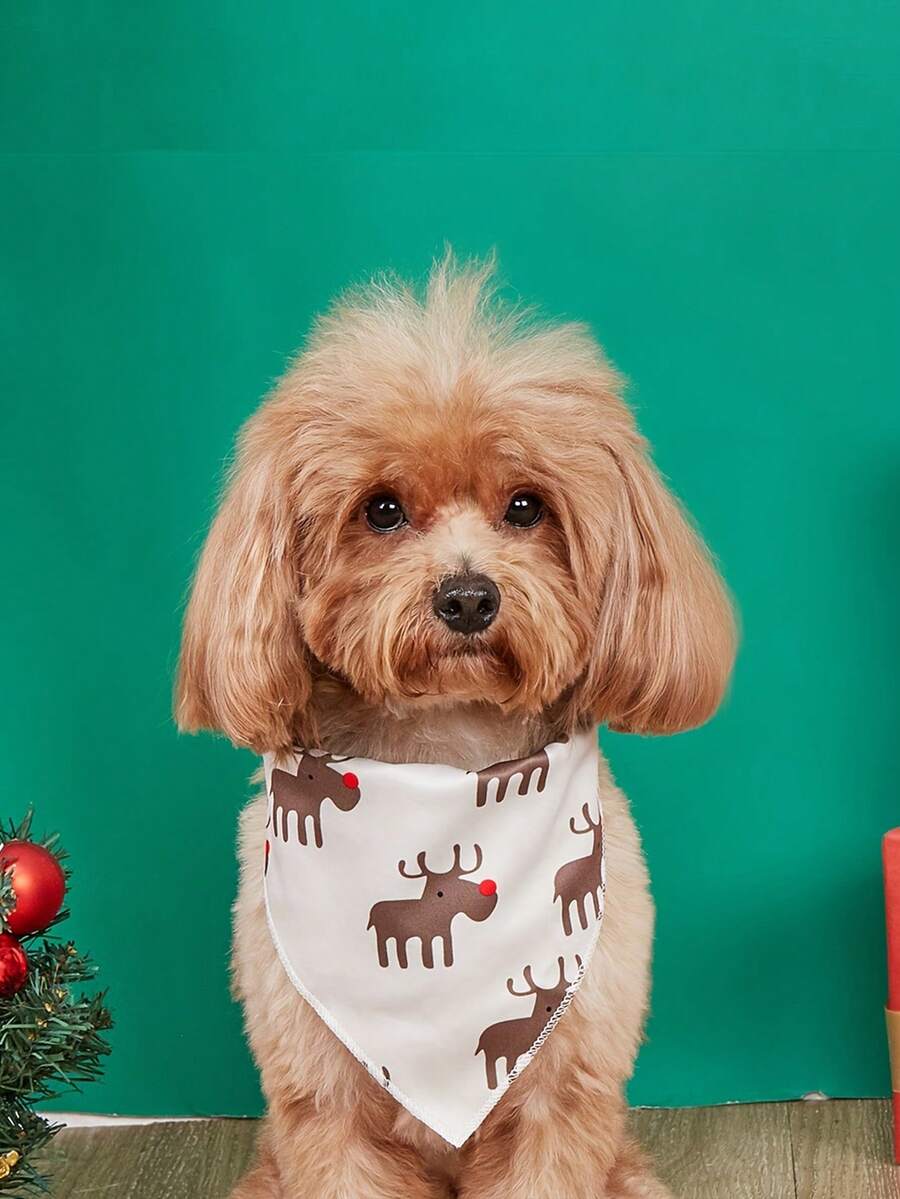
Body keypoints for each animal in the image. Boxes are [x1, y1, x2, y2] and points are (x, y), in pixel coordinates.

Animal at [367, 844, 498, 969]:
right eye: (439, 893)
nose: (491, 895)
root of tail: (372, 911)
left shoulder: (445, 934)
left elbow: (447, 951)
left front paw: (447, 963)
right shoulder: (426, 936)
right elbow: (427, 953)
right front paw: (429, 965)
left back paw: (403, 964)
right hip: (382, 933)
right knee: (382, 945)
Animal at [476, 956, 583, 1089]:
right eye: (548, 1008)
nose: (561, 1012)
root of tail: (481, 1038)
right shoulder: (512, 1053)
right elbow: (510, 1069)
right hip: (491, 1053)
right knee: (489, 1066)